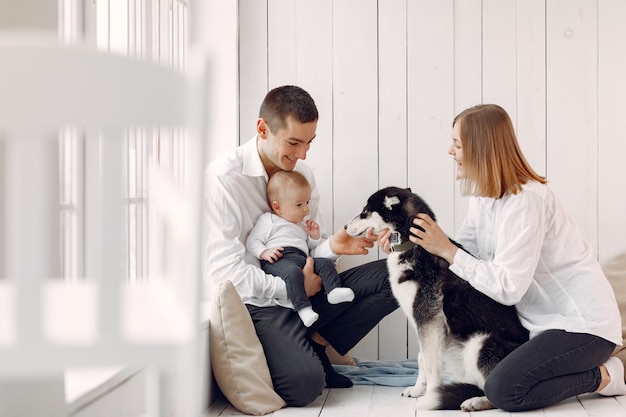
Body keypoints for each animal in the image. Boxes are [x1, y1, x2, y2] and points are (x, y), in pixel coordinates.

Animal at [342, 187, 528, 412]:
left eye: (365, 212)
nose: (344, 227)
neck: (411, 243)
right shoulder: (422, 321)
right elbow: (422, 357)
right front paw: (417, 389)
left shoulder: (428, 318)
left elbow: (431, 365)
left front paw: (430, 395)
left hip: (481, 343)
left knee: (493, 391)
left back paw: (475, 401)